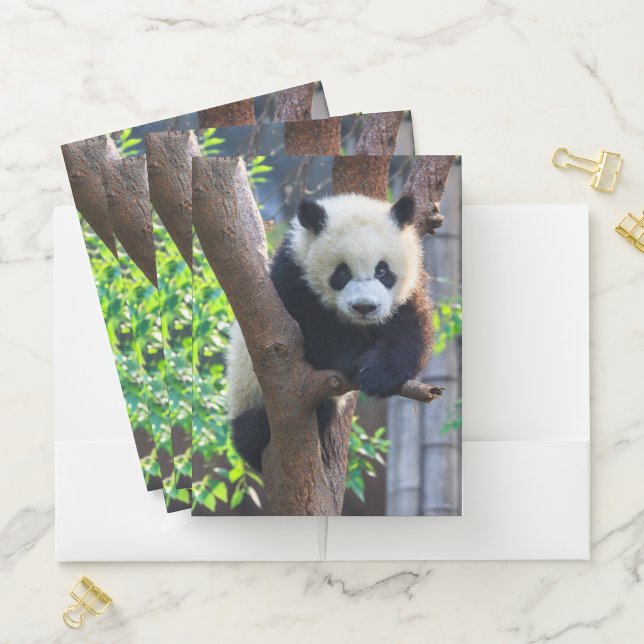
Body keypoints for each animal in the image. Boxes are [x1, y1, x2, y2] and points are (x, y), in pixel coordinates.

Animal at [227, 192, 434, 471]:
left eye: (382, 270)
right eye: (342, 272)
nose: (364, 307)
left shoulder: (406, 293)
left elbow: (409, 330)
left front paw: (378, 375)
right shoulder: (292, 279)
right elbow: (313, 331)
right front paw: (354, 361)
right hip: (249, 394)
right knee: (256, 431)